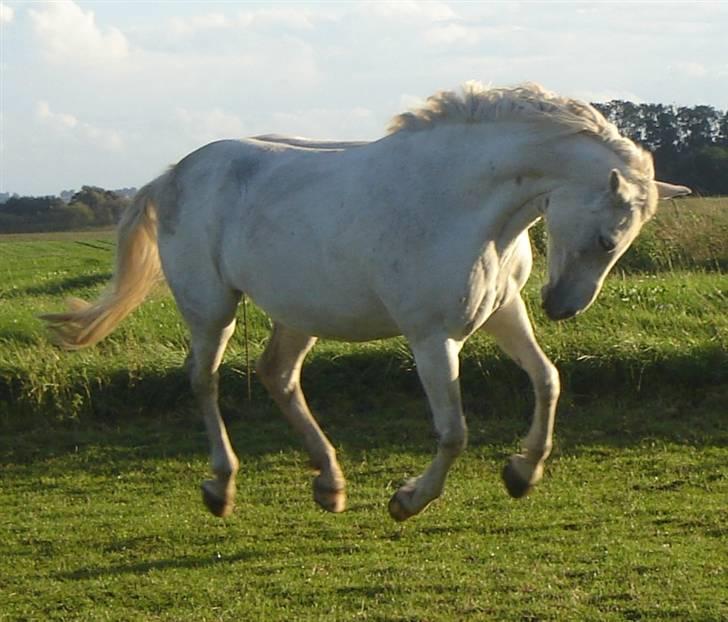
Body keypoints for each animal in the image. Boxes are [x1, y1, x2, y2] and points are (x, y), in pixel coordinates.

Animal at [42, 83, 692, 520]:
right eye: (606, 238)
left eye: (621, 244)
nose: (563, 308)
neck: (463, 203)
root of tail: (174, 172)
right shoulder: (433, 339)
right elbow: (453, 431)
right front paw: (408, 500)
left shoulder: (504, 313)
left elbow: (549, 380)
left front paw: (520, 474)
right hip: (211, 308)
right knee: (204, 380)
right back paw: (221, 487)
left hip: (300, 312)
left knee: (278, 375)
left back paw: (329, 485)